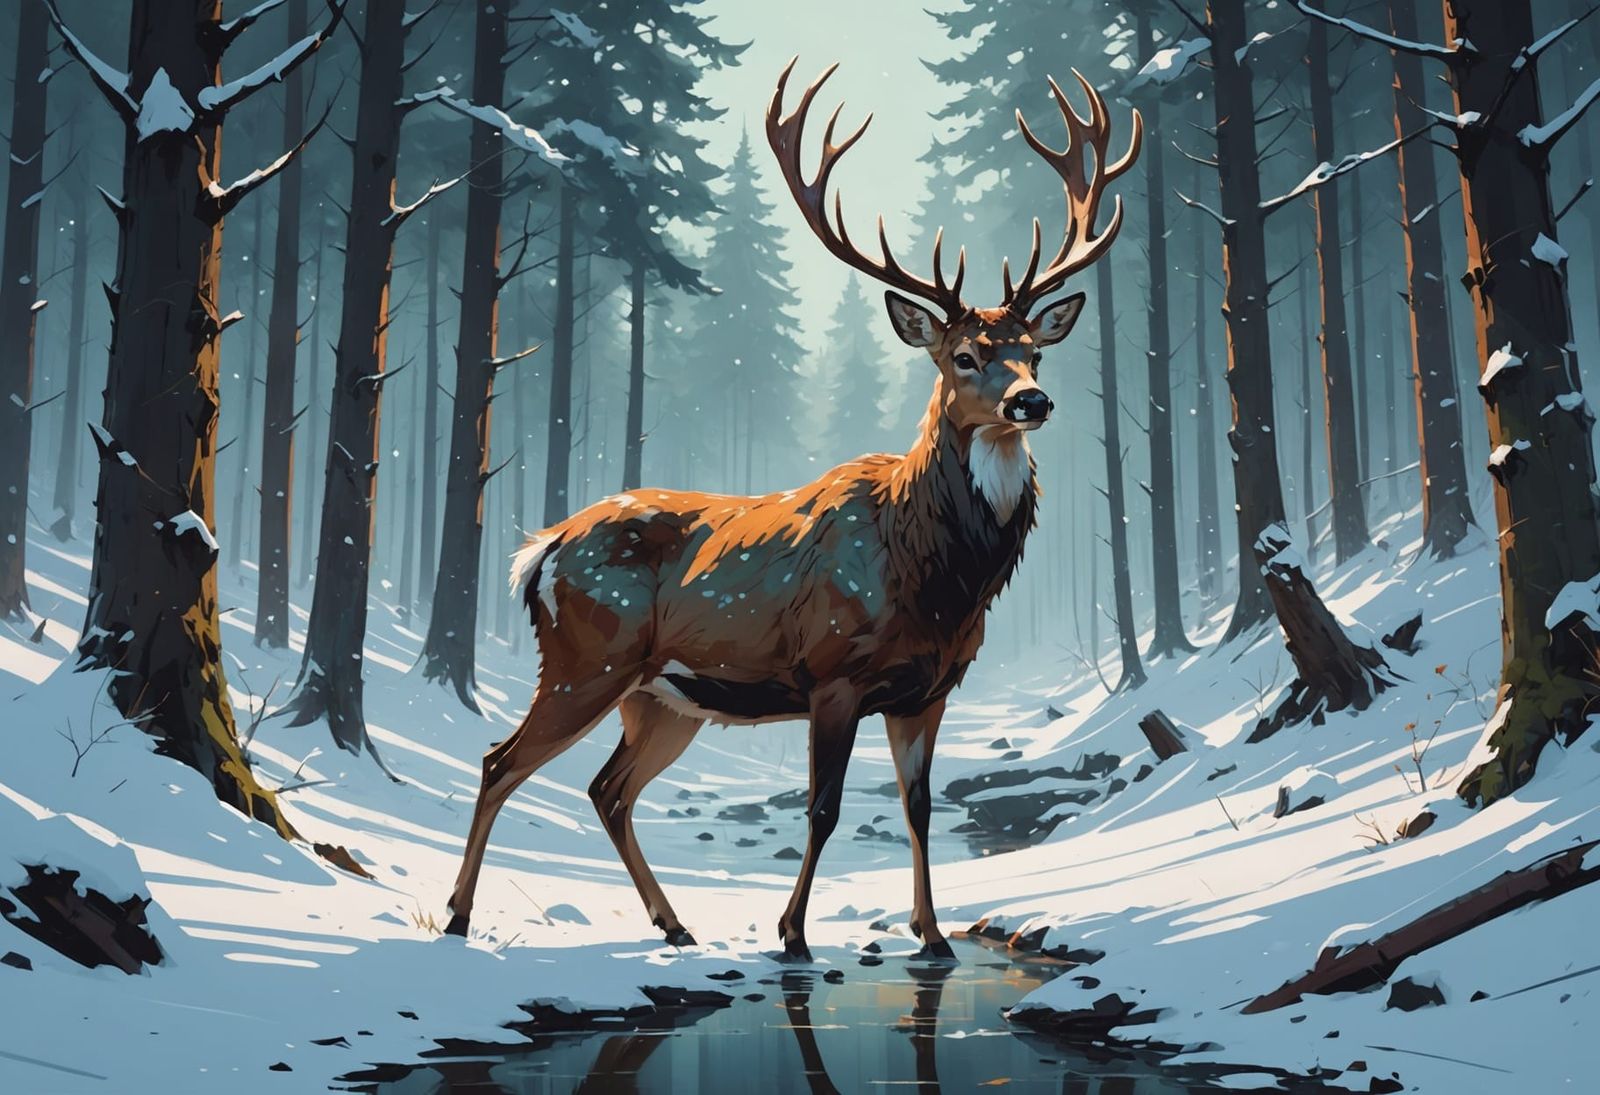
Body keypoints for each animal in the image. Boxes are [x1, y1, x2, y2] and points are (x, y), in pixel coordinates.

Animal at [445, 59, 1141, 961]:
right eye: (963, 355)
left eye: (1035, 351)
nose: (1033, 401)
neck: (937, 577)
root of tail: (540, 551)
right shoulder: (832, 671)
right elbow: (824, 806)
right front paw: (793, 934)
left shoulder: (929, 689)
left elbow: (919, 807)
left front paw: (933, 935)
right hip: (583, 659)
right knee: (501, 760)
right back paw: (459, 914)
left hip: (660, 696)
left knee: (607, 787)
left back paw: (676, 924)